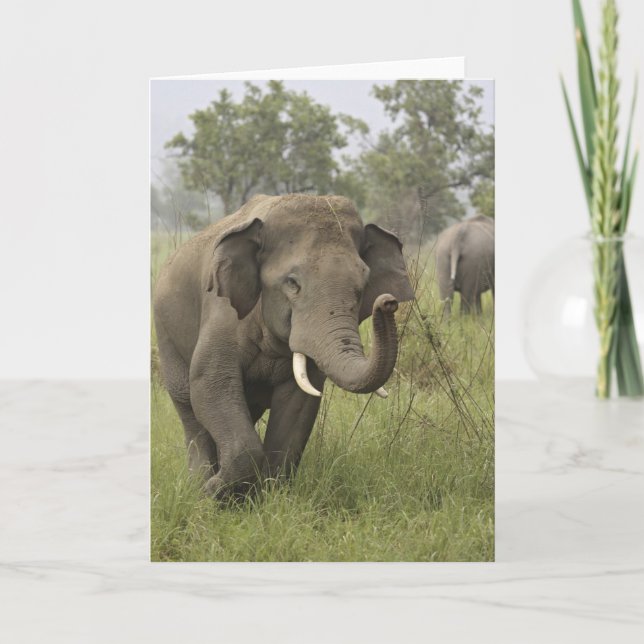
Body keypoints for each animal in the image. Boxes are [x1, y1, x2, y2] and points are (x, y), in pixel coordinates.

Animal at [153, 194, 415, 497]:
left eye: (362, 286)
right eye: (292, 283)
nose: (388, 302)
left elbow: (298, 403)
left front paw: (266, 496)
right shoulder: (221, 311)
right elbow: (211, 383)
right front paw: (213, 493)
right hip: (166, 335)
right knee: (190, 409)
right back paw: (198, 485)